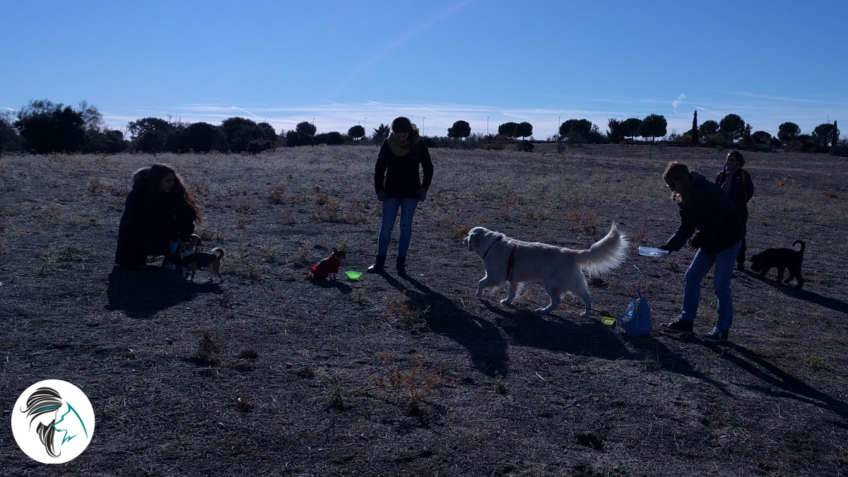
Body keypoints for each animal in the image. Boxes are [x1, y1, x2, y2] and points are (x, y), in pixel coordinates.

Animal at [464, 223, 628, 316]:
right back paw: (586, 313)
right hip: (573, 283)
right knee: (586, 296)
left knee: (557, 301)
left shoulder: (494, 276)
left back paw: (543, 311)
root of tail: (571, 253)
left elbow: (480, 282)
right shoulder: (514, 280)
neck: (491, 243)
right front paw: (507, 301)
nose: (463, 240)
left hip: (552, 284)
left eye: (468, 236)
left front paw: (478, 294)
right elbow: (512, 292)